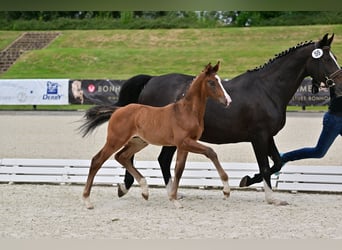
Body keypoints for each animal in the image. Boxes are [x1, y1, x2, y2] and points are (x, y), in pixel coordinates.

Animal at [80, 62, 231, 209]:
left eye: (220, 80)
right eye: (211, 82)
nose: (227, 101)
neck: (187, 112)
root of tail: (118, 110)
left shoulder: (185, 145)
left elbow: (179, 169)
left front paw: (174, 199)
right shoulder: (184, 142)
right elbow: (210, 152)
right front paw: (226, 191)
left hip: (138, 142)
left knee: (121, 156)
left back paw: (144, 190)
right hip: (115, 140)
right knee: (97, 160)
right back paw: (87, 201)